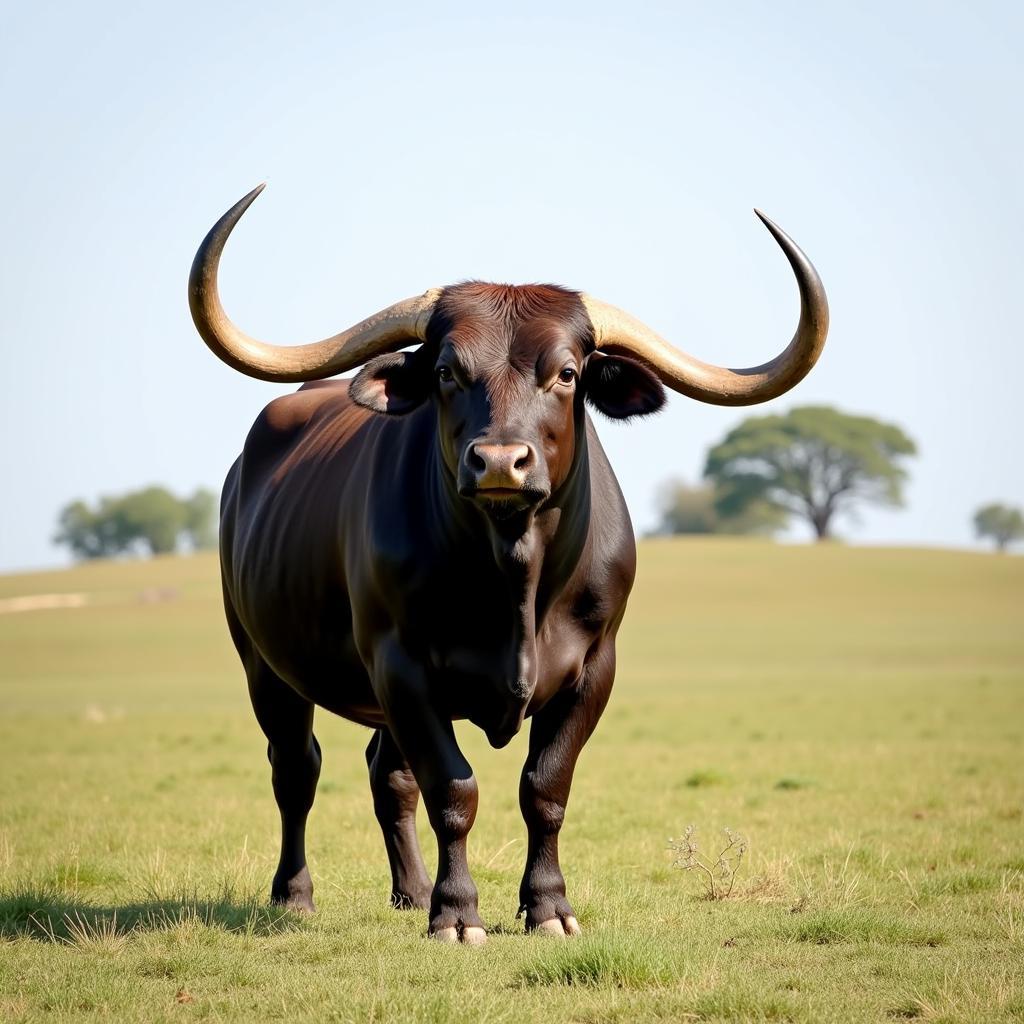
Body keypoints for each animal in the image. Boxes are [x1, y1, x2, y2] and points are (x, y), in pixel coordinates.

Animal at [190, 186, 831, 942]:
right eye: (446, 371)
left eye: (567, 373)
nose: (500, 462)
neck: (515, 577)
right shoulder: (400, 664)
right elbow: (453, 788)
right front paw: (457, 914)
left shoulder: (594, 668)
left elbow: (544, 788)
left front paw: (547, 906)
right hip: (263, 665)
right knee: (296, 770)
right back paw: (296, 893)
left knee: (387, 776)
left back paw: (409, 891)